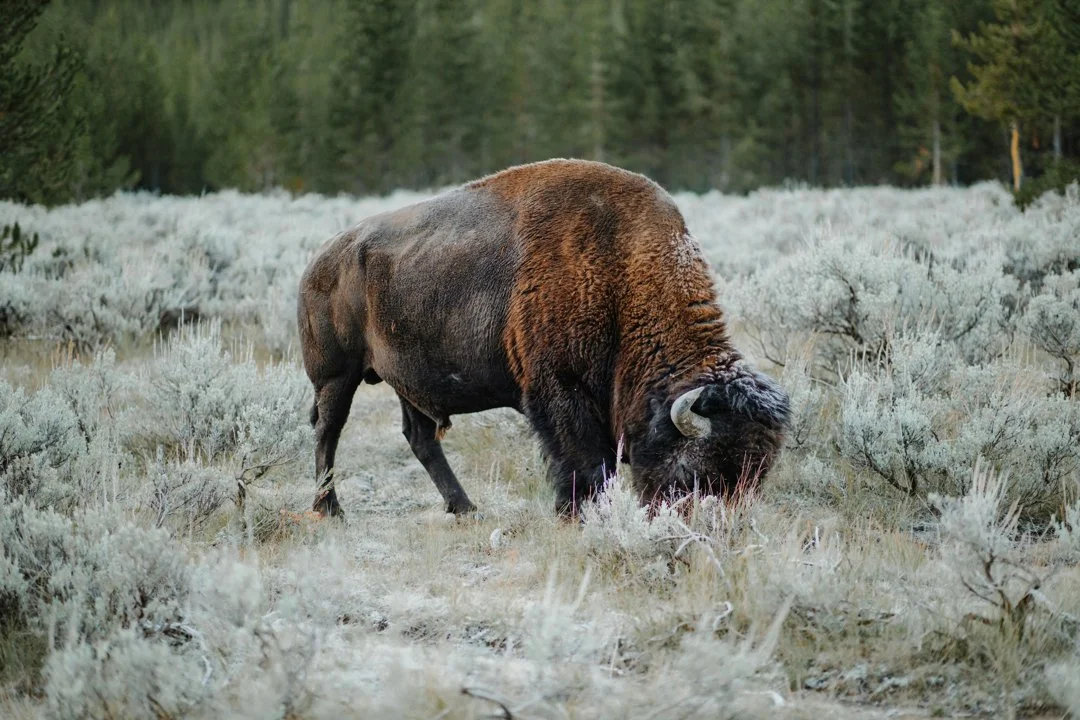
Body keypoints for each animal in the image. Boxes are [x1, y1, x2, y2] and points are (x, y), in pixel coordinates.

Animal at [297, 159, 789, 518]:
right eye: (696, 470)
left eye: (759, 473)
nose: (719, 524)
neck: (622, 272)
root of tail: (322, 257)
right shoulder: (560, 391)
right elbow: (586, 462)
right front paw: (577, 512)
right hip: (336, 377)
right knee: (329, 431)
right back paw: (329, 508)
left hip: (407, 380)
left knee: (420, 438)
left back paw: (465, 508)